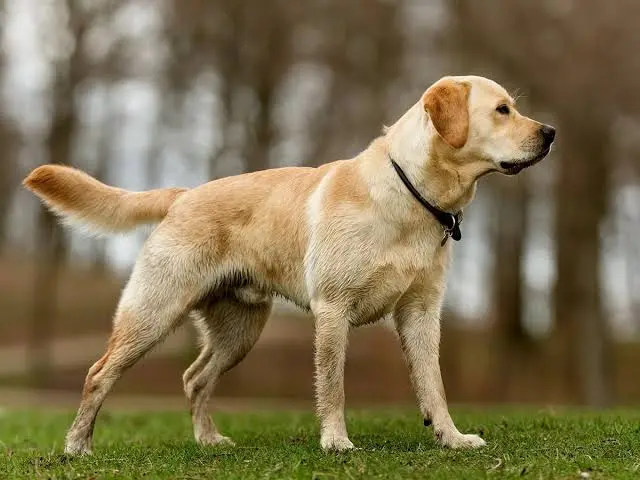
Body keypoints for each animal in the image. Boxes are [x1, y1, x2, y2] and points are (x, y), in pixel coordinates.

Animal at [23, 75, 556, 454]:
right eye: (503, 109)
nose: (551, 132)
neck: (412, 196)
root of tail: (183, 193)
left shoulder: (422, 313)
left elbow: (435, 386)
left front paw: (451, 438)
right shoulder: (334, 309)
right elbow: (333, 386)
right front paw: (337, 441)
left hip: (239, 331)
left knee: (195, 378)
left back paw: (208, 441)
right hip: (153, 313)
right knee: (99, 373)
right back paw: (77, 445)